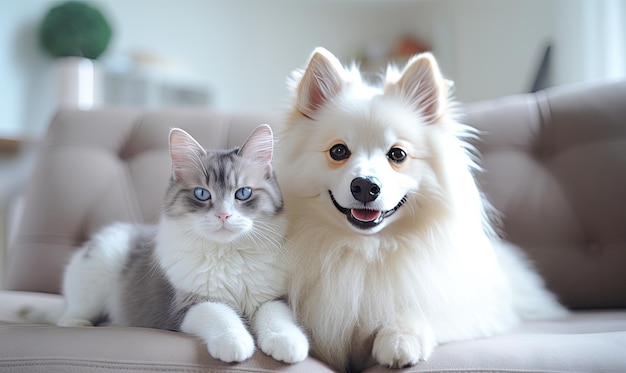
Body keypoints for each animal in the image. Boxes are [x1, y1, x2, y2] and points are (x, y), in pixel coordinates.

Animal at [50, 125, 308, 364]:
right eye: (202, 194)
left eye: (243, 193)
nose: (223, 215)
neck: (227, 253)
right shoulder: (189, 304)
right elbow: (220, 314)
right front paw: (235, 343)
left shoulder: (272, 297)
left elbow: (275, 316)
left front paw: (288, 343)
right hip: (96, 273)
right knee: (68, 316)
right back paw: (82, 325)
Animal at [272, 48, 564, 370]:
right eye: (338, 151)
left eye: (397, 154)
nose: (365, 185)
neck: (363, 250)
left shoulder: (474, 308)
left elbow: (420, 307)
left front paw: (401, 338)